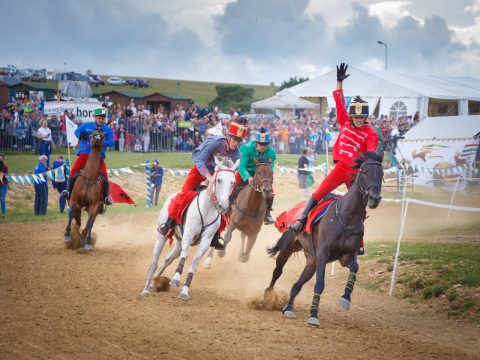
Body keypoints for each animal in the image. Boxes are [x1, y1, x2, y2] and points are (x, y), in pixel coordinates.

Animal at [266, 153, 382, 328]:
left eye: (381, 174)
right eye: (365, 172)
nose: (375, 198)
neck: (347, 218)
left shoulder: (346, 256)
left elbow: (355, 267)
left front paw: (345, 298)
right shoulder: (323, 255)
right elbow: (319, 284)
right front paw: (314, 315)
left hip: (311, 261)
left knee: (297, 285)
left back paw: (288, 308)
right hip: (288, 248)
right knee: (277, 271)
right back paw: (268, 296)